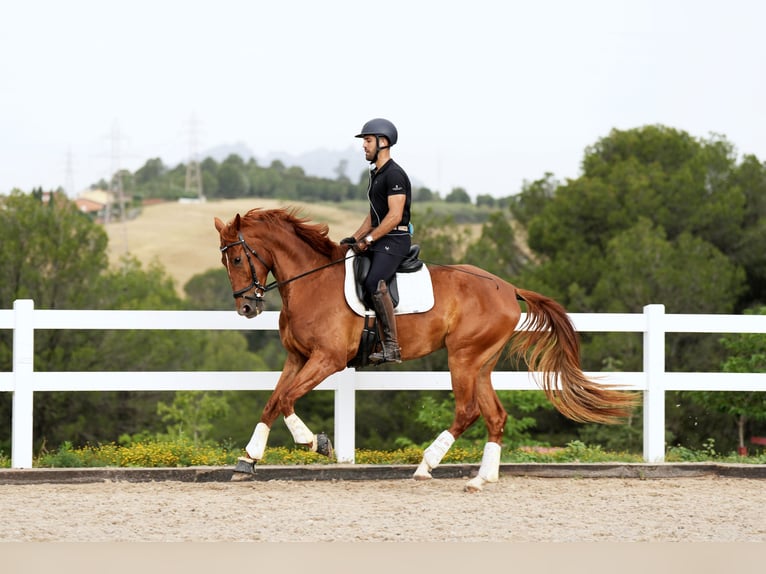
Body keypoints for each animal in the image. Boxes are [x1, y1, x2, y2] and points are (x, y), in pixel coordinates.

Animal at [213, 209, 640, 492]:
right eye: (225, 260)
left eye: (236, 257)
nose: (246, 308)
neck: (311, 282)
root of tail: (507, 287)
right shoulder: (297, 358)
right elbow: (273, 401)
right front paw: (247, 460)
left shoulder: (327, 360)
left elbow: (287, 398)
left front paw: (314, 442)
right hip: (481, 362)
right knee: (495, 415)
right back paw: (482, 477)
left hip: (462, 357)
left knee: (468, 411)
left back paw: (426, 465)